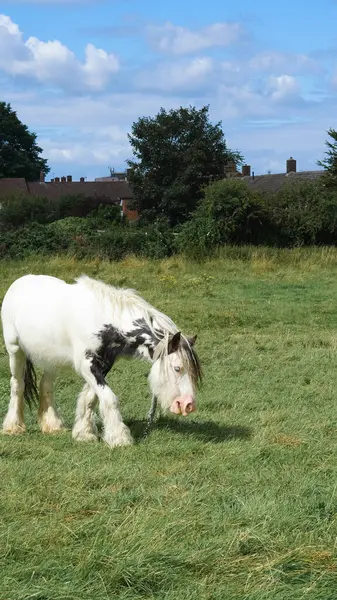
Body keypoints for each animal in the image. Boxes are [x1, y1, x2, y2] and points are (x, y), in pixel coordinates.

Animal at [1, 274, 201, 448]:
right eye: (177, 368)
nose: (187, 405)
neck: (105, 322)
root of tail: (19, 282)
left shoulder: (104, 364)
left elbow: (90, 398)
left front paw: (84, 433)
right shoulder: (87, 366)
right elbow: (109, 399)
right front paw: (119, 438)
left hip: (51, 360)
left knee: (46, 386)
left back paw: (52, 425)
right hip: (15, 351)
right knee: (17, 385)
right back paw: (13, 426)